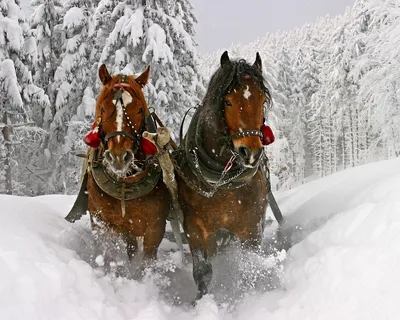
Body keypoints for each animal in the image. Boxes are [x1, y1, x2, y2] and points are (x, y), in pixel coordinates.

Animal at [85, 65, 170, 268]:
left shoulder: (155, 227)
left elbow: (148, 261)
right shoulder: (100, 221)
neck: (125, 184)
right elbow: (107, 254)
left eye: (139, 110)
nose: (118, 156)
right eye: (103, 108)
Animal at [175, 50, 272, 300]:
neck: (223, 182)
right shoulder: (195, 228)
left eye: (262, 101)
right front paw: (201, 302)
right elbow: (203, 272)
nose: (250, 152)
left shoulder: (251, 227)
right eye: (228, 102)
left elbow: (249, 266)